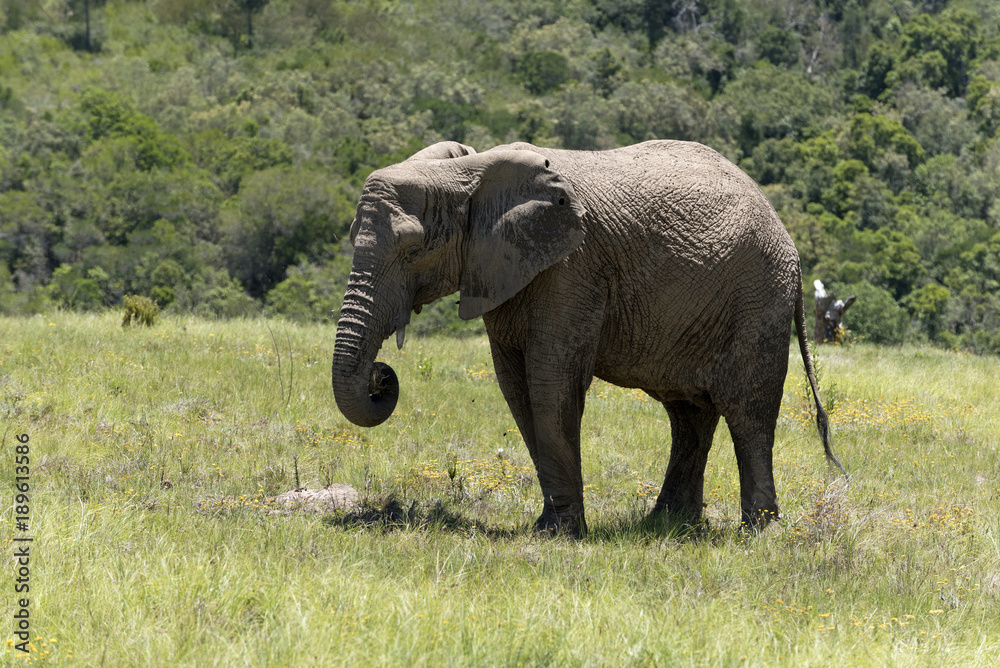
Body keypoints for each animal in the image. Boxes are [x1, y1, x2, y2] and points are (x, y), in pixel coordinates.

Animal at [332, 139, 846, 537]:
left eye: (412, 247)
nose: (380, 375)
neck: (470, 172)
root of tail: (786, 236)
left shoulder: (571, 269)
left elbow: (550, 382)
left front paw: (560, 534)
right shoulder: (503, 269)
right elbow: (516, 389)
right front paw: (549, 526)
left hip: (758, 298)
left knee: (748, 412)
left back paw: (758, 532)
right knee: (689, 414)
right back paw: (667, 526)